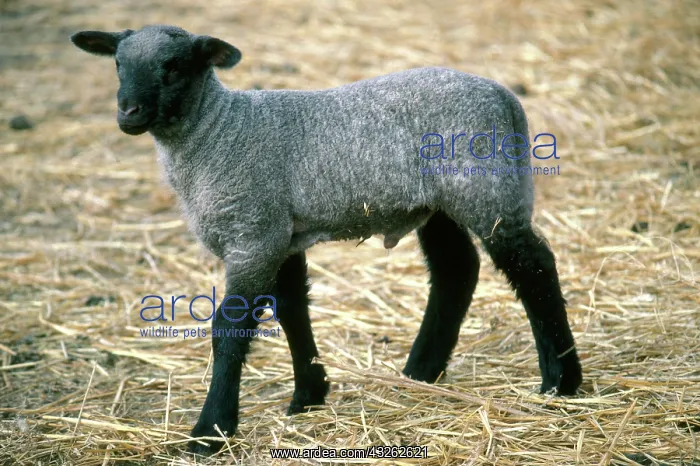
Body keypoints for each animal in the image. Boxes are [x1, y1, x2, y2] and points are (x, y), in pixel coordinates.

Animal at [70, 24, 583, 456]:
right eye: (117, 64)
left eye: (173, 65)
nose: (127, 113)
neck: (218, 133)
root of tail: (504, 96)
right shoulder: (282, 235)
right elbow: (293, 311)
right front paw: (308, 396)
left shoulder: (254, 235)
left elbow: (230, 330)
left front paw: (210, 431)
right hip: (439, 203)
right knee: (456, 270)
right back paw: (421, 371)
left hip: (485, 190)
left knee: (533, 266)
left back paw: (562, 381)